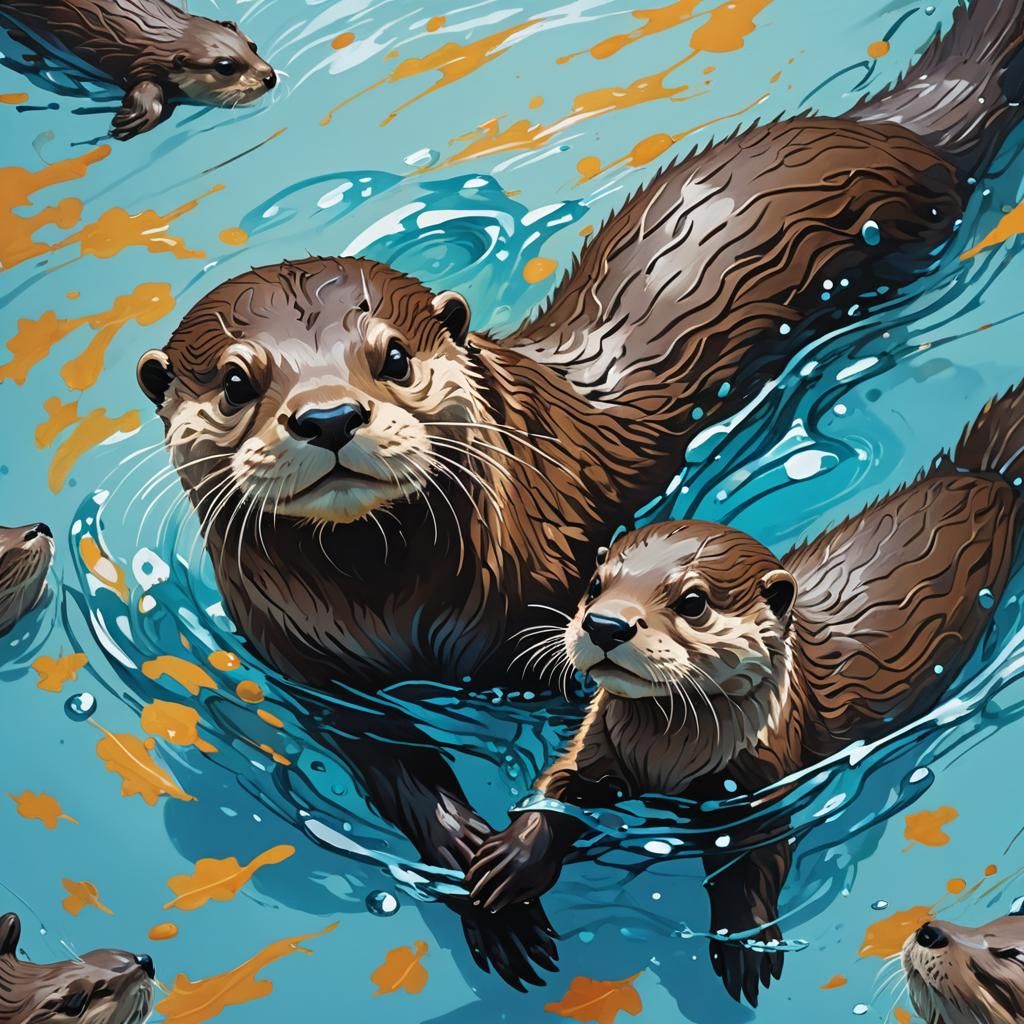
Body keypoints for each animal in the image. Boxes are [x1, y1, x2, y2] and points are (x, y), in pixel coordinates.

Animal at [465, 380, 1024, 1004]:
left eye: (693, 601)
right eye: (593, 585)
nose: (606, 624)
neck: (663, 758)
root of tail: (983, 473)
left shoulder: (760, 779)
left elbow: (752, 862)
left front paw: (744, 943)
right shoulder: (596, 743)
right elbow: (553, 791)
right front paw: (506, 865)